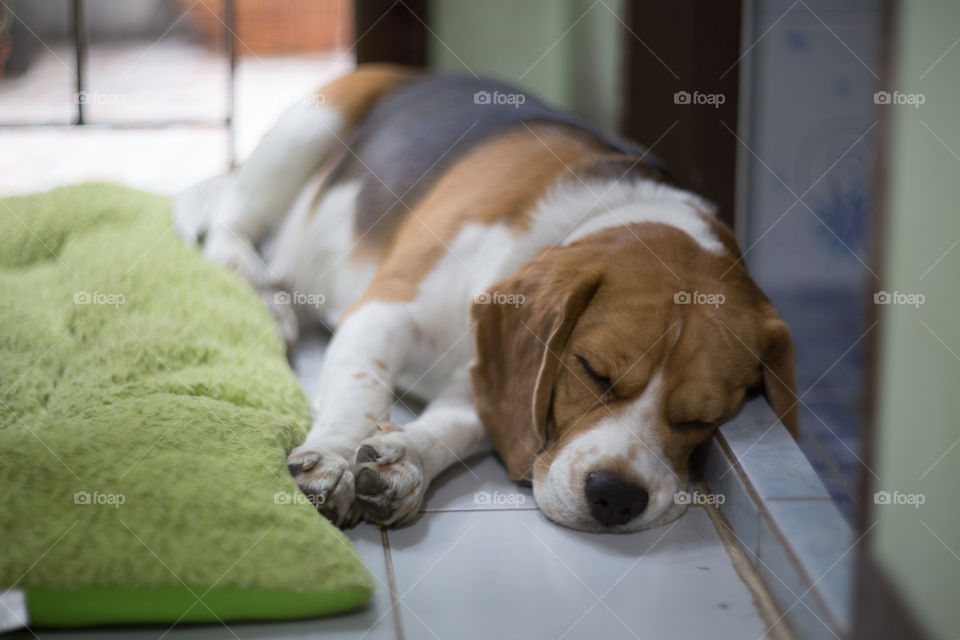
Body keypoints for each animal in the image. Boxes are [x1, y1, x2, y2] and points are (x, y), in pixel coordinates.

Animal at [176, 65, 800, 536]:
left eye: (702, 420)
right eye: (591, 372)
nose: (616, 498)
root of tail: (411, 73)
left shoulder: (482, 380)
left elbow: (459, 426)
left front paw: (405, 460)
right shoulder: (383, 312)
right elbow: (361, 391)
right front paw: (331, 457)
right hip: (307, 128)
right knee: (228, 221)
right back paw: (259, 286)